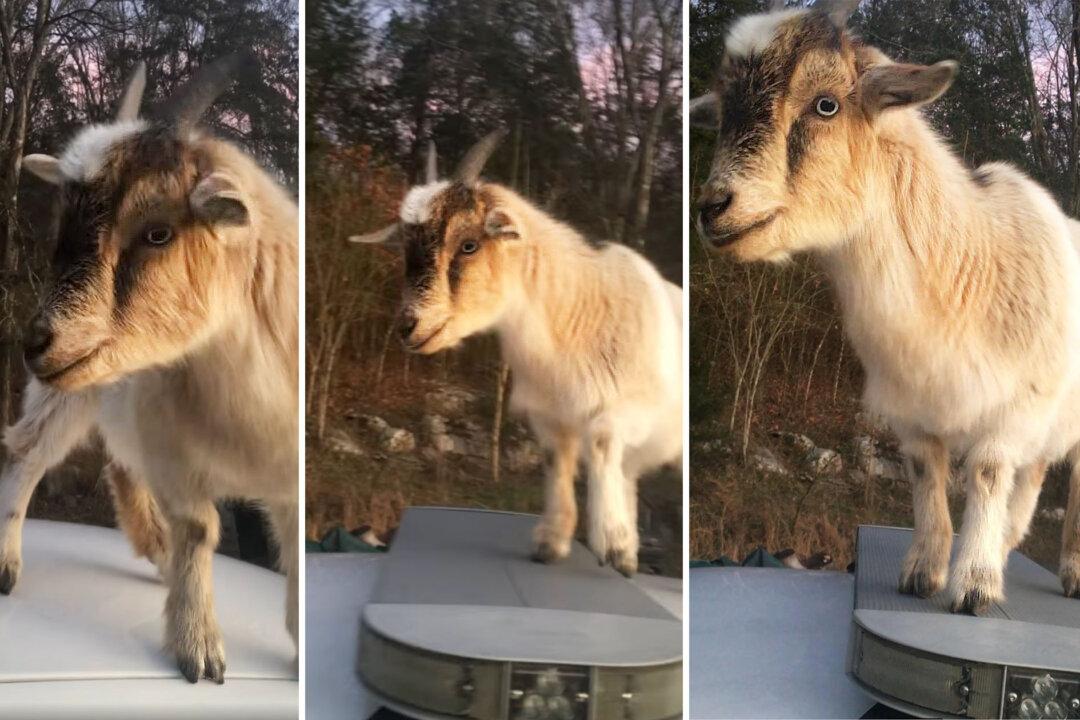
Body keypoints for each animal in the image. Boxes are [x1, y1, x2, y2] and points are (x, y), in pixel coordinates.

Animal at [0, 56, 299, 681]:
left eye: (158, 232)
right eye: (61, 228)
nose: (37, 342)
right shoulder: (178, 458)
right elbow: (201, 530)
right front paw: (199, 648)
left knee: (119, 467)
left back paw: (157, 555)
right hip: (67, 395)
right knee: (27, 453)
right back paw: (8, 565)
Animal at [351, 132, 683, 576]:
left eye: (468, 244)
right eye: (406, 250)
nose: (408, 327)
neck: (576, 315)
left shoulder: (633, 408)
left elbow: (599, 440)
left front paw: (608, 541)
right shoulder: (550, 419)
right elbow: (557, 463)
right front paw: (552, 543)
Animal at [692, 0, 1080, 614]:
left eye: (826, 104)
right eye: (725, 111)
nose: (713, 208)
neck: (962, 266)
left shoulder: (1014, 406)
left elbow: (988, 473)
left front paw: (974, 585)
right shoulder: (913, 408)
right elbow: (926, 475)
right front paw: (923, 572)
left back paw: (1068, 571)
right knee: (1038, 469)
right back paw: (1009, 541)